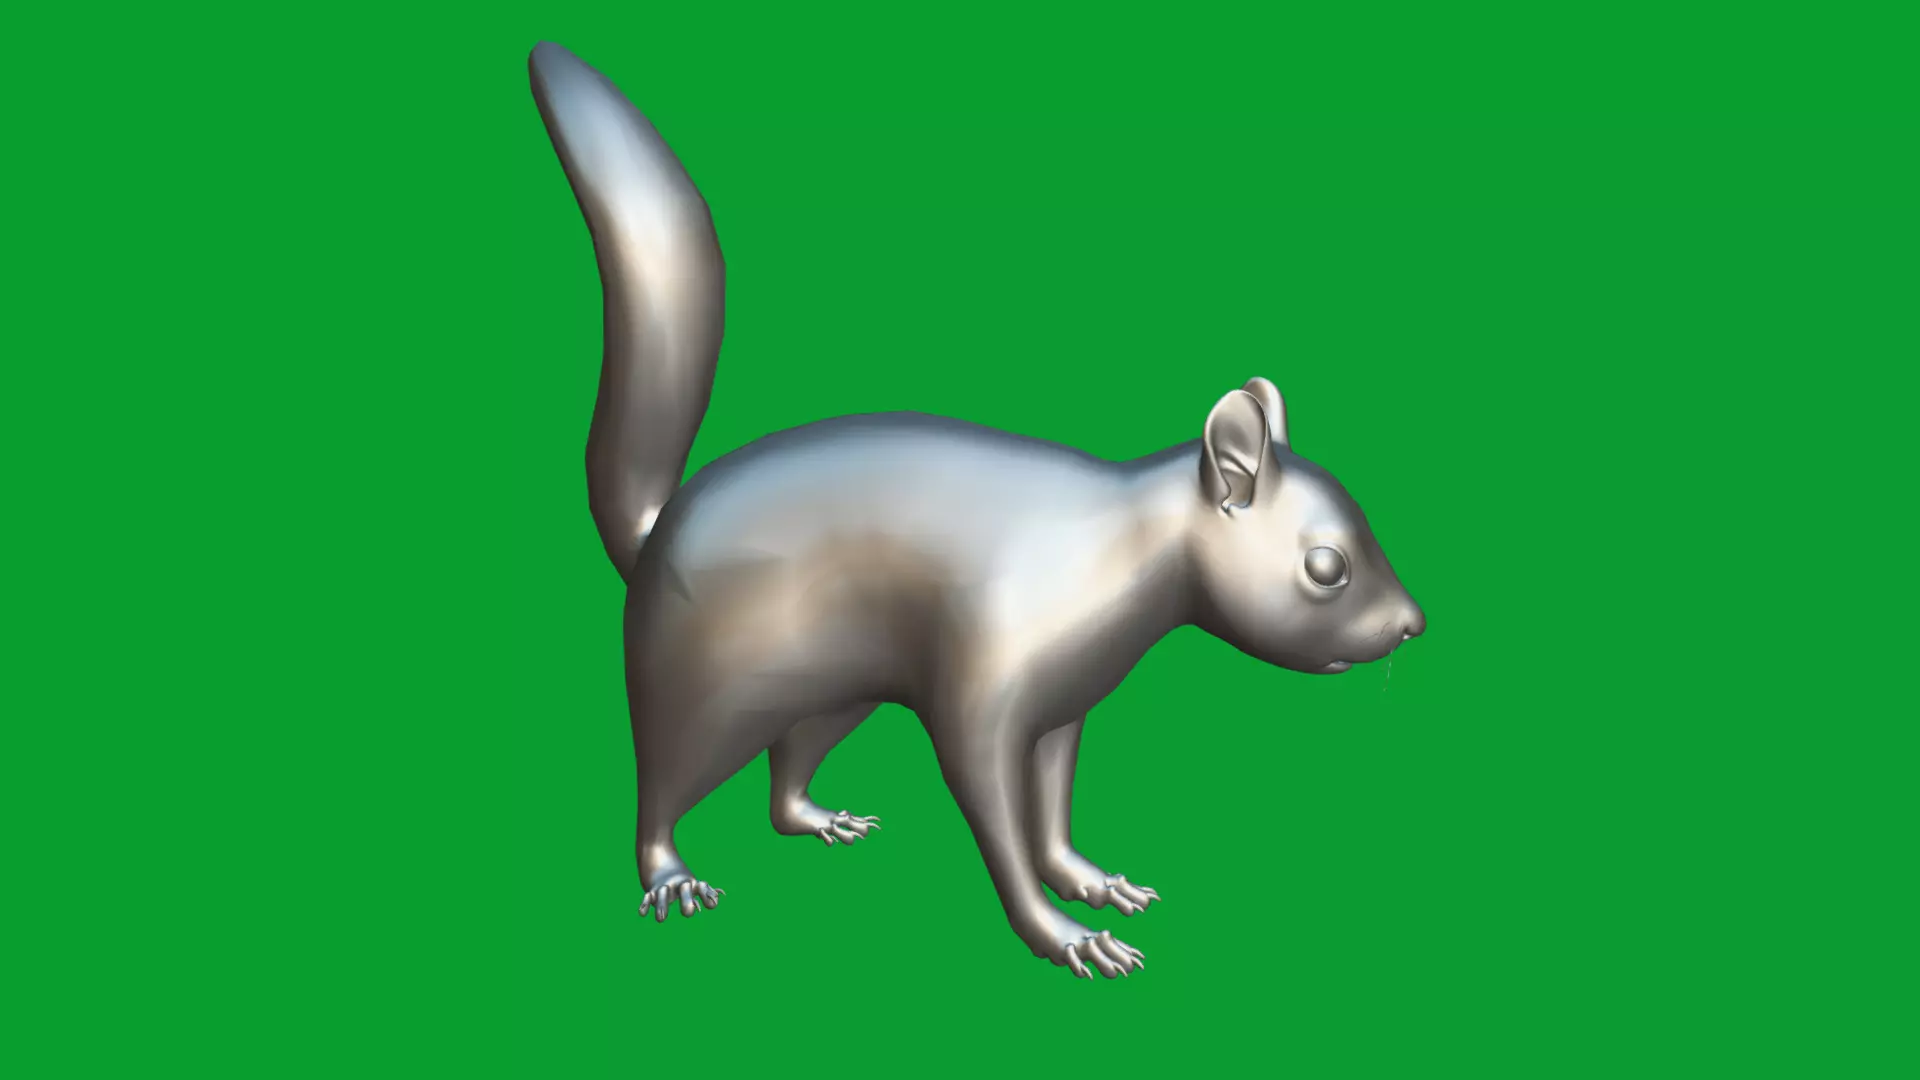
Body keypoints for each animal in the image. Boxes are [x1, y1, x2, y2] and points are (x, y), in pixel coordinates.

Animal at [529, 41, 1426, 980]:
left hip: (839, 689)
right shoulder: (983, 685)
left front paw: (1094, 882)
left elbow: (1053, 813)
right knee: (661, 788)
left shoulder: (1068, 705)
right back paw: (670, 873)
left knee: (786, 775)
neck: (1111, 553)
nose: (1411, 623)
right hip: (700, 685)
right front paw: (1067, 934)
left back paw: (820, 817)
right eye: (1327, 566)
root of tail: (656, 529)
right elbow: (995, 814)